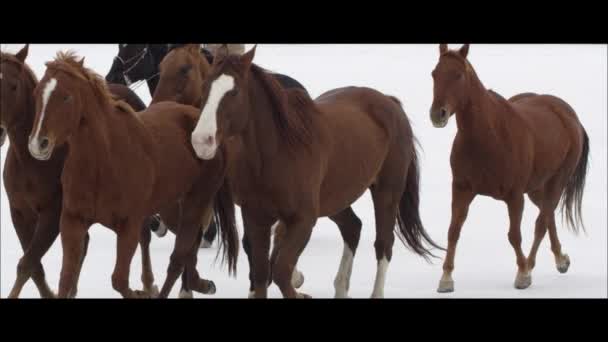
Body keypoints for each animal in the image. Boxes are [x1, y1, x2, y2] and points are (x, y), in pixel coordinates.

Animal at [0, 44, 156, 296]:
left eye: (13, 86)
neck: (31, 163)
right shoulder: (20, 213)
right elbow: (35, 268)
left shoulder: (53, 214)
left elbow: (27, 264)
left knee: (143, 236)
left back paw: (149, 284)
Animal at [28, 51, 238, 300]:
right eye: (37, 93)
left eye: (67, 97)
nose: (38, 144)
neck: (104, 162)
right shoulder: (73, 221)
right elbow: (66, 280)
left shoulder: (129, 226)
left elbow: (119, 280)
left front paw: (143, 291)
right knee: (189, 250)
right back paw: (200, 284)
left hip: (194, 202)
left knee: (178, 258)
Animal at [190, 46, 442, 300]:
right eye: (206, 87)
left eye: (233, 92)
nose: (201, 140)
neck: (278, 153)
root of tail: (389, 102)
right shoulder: (257, 219)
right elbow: (261, 275)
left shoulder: (303, 221)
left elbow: (281, 272)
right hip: (335, 199)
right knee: (353, 228)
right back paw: (341, 288)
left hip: (387, 192)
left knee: (383, 244)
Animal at [428, 44, 588, 292]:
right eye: (434, 74)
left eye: (458, 75)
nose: (438, 114)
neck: (487, 137)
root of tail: (568, 114)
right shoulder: (462, 189)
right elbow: (453, 231)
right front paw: (446, 278)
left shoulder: (514, 196)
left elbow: (514, 236)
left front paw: (522, 274)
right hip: (536, 188)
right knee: (548, 214)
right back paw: (561, 260)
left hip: (557, 181)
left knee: (542, 222)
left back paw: (530, 265)